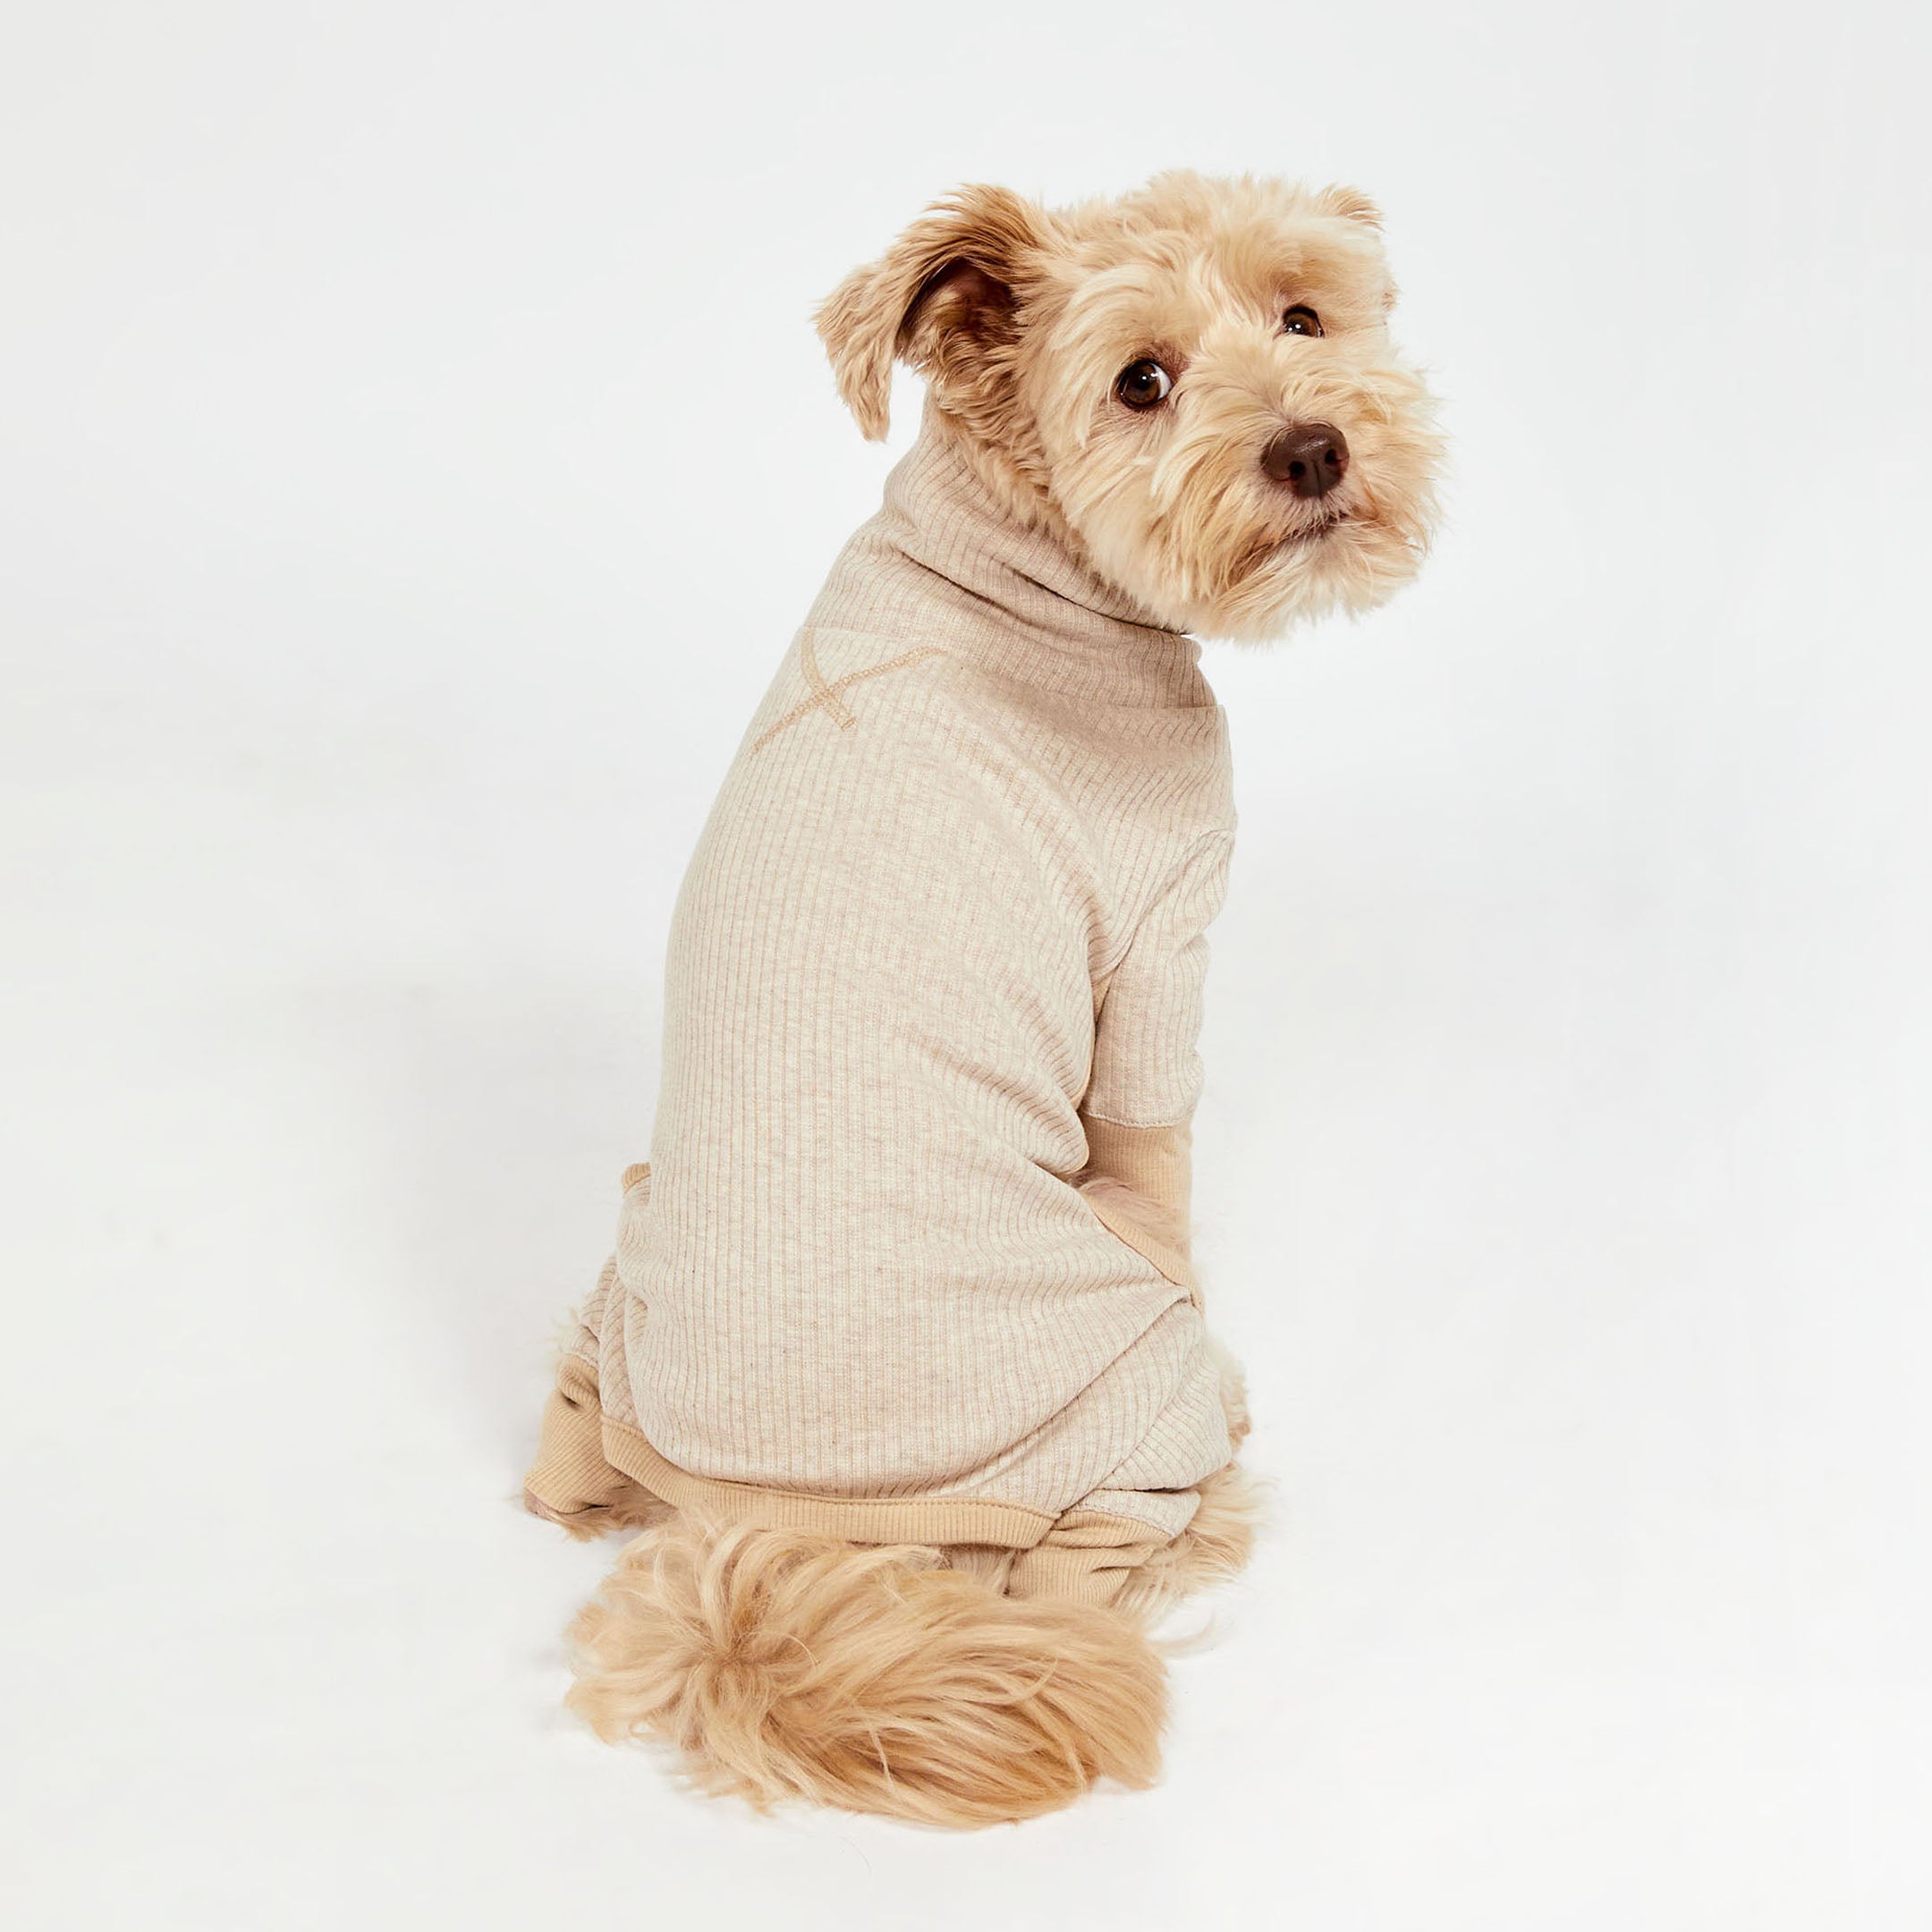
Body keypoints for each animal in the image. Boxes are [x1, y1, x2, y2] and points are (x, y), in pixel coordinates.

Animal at [521, 170, 1445, 1824]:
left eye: (1303, 313)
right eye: (1141, 381)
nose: (1314, 447)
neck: (1022, 555)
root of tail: (785, 1536)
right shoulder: (1158, 952)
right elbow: (1158, 1169)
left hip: (622, 1261)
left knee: (568, 1436)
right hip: (1122, 1383)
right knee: (1094, 1566)